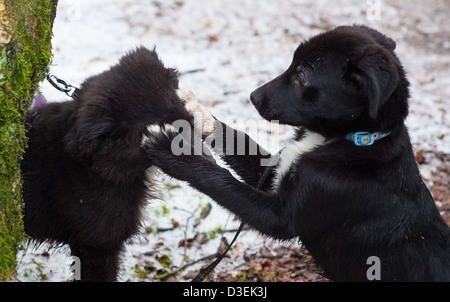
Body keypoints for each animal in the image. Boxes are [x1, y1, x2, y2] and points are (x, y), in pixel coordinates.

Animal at [142, 24, 450, 282]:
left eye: (301, 77)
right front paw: (199, 114)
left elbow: (224, 183)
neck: (354, 140)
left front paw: (178, 153)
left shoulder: (284, 215)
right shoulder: (274, 172)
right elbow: (240, 139)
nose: (253, 97)